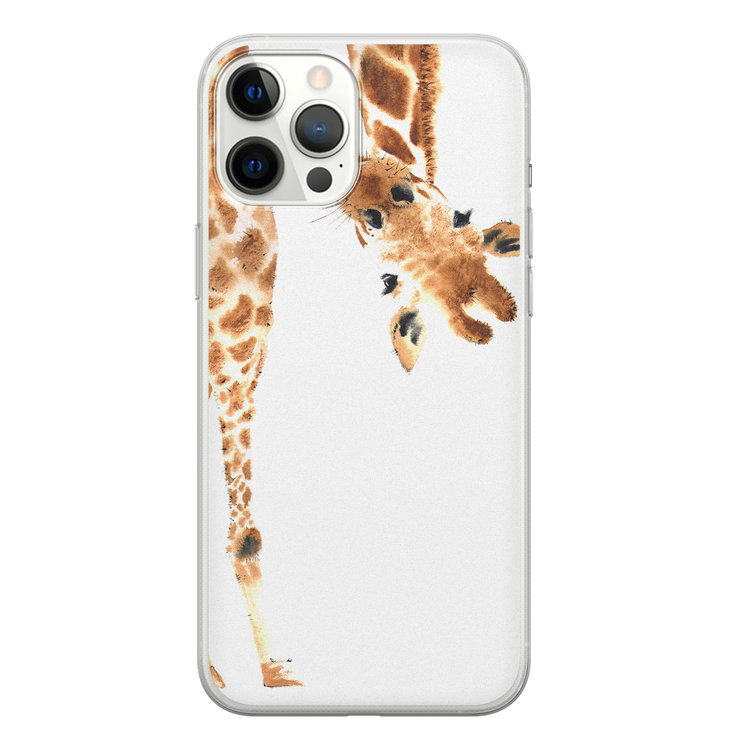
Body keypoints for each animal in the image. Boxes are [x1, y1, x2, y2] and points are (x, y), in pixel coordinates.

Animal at [206, 43, 521, 689]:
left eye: (462, 215)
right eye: (385, 274)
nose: (366, 185)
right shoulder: (235, 312)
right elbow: (244, 532)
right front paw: (272, 670)